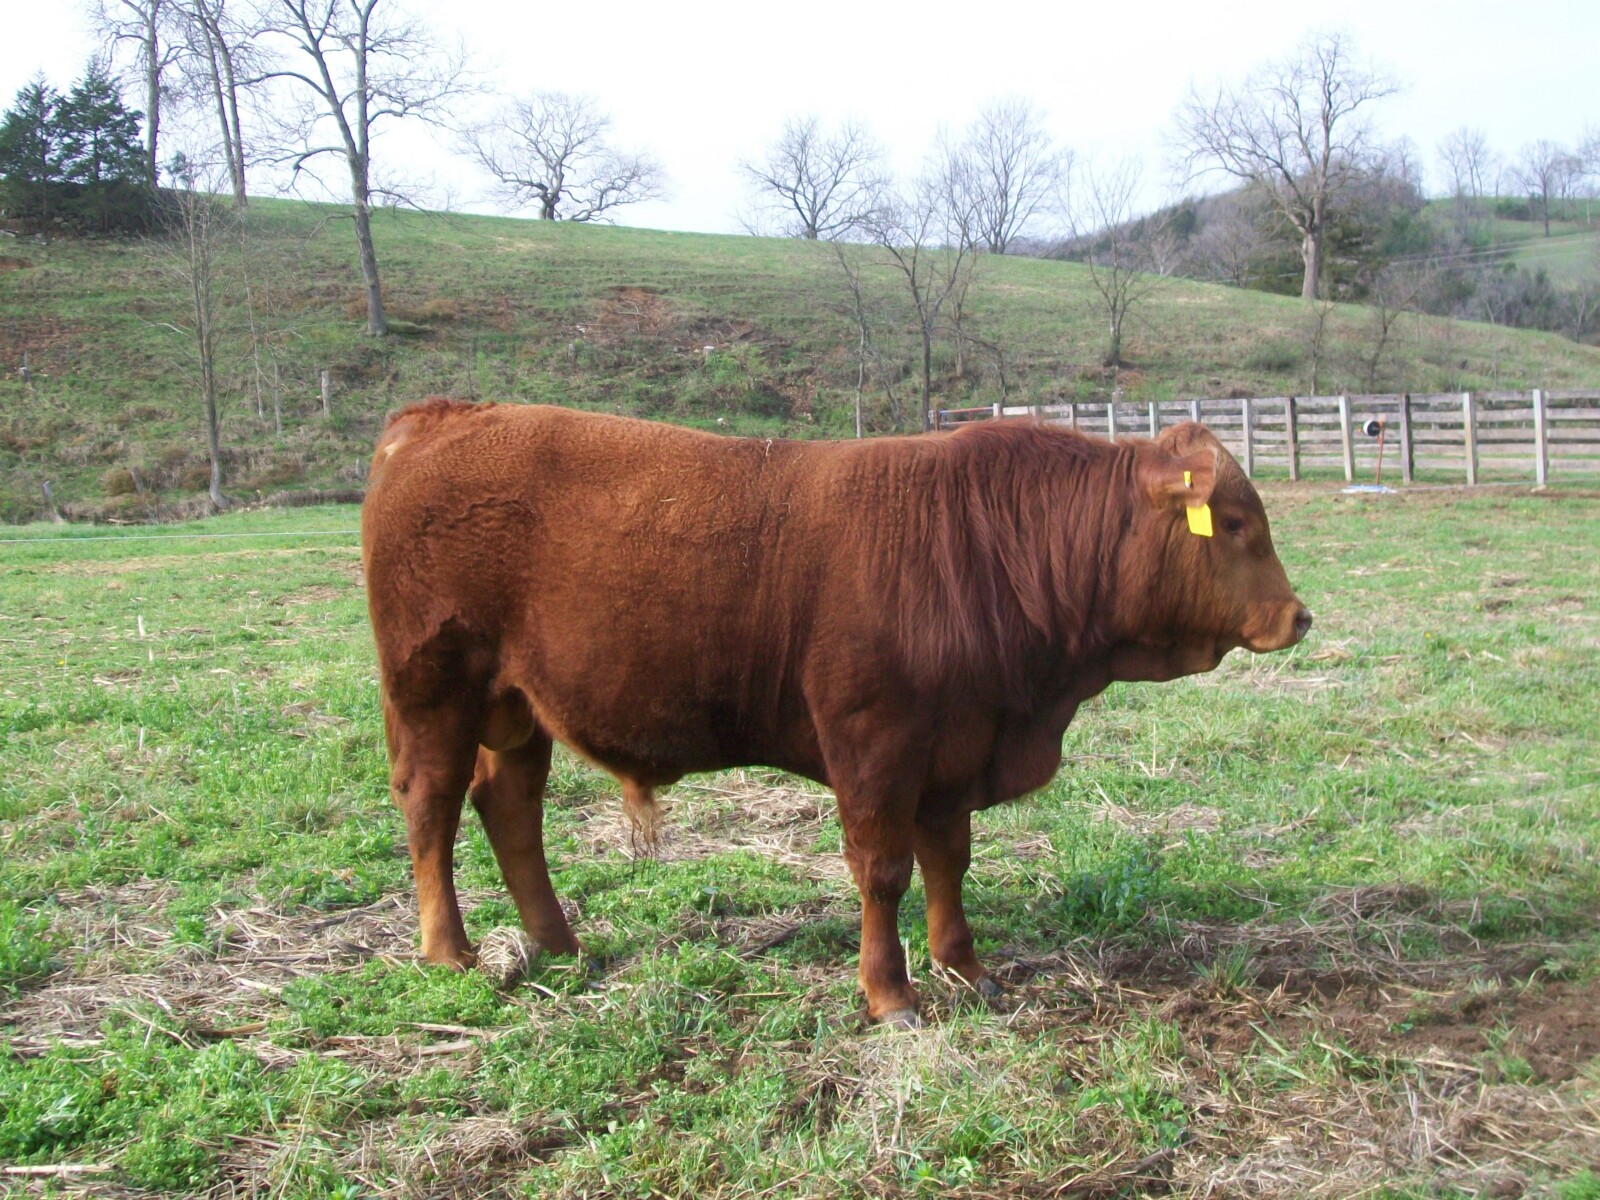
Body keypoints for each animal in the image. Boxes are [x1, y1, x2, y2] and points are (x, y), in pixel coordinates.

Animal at [361, 400, 1311, 1026]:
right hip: (434, 687)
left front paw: (966, 967)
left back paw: (557, 942)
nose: (1298, 616)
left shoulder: (953, 748)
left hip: (516, 704)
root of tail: (443, 414)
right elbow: (883, 870)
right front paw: (890, 994)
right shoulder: (874, 742)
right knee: (431, 805)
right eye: (1232, 522)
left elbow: (949, 862)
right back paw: (449, 950)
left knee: (508, 806)